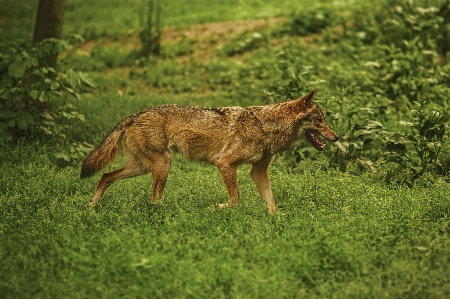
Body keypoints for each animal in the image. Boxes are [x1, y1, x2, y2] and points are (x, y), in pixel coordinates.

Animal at [80, 89, 338, 216]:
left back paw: (90, 207)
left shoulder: (258, 172)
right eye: (320, 121)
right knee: (154, 199)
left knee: (106, 177)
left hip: (142, 167)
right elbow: (235, 201)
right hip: (163, 165)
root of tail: (136, 115)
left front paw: (278, 224)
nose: (337, 137)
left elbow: (272, 204)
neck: (266, 126)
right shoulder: (225, 164)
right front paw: (214, 208)